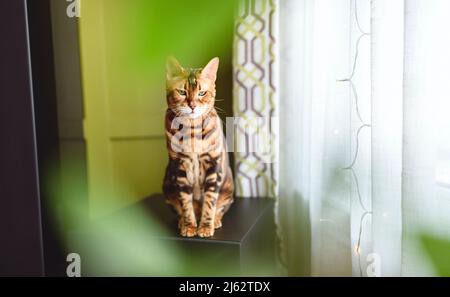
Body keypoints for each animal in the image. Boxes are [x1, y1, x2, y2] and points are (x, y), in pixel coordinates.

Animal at [163, 56, 234, 237]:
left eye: (202, 92)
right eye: (182, 92)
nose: (192, 105)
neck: (192, 129)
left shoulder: (213, 165)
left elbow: (210, 201)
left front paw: (206, 226)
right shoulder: (179, 166)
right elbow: (185, 202)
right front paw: (189, 225)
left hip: (228, 187)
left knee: (220, 207)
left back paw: (215, 221)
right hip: (167, 183)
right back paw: (182, 221)